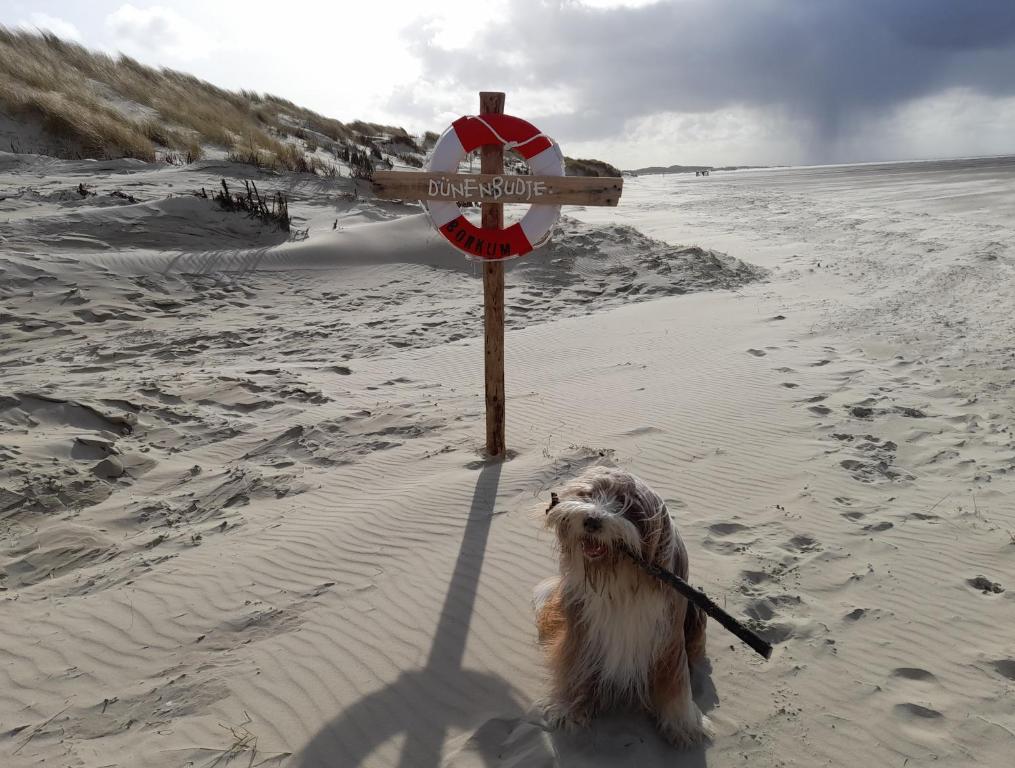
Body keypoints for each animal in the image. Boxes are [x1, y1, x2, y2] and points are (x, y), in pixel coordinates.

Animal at [535, 464, 710, 746]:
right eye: (588, 494)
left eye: (628, 506)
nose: (592, 520)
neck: (620, 576)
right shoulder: (581, 629)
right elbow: (574, 665)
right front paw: (570, 707)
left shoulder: (668, 634)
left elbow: (676, 679)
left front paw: (681, 722)